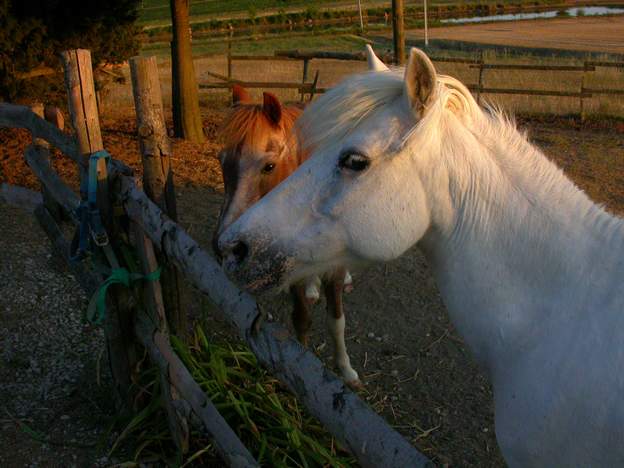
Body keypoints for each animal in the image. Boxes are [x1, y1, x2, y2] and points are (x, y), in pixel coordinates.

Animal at [214, 85, 360, 388]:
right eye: (221, 163)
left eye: (268, 167)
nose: (224, 246)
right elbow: (301, 319)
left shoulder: (335, 269)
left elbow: (336, 320)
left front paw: (346, 370)